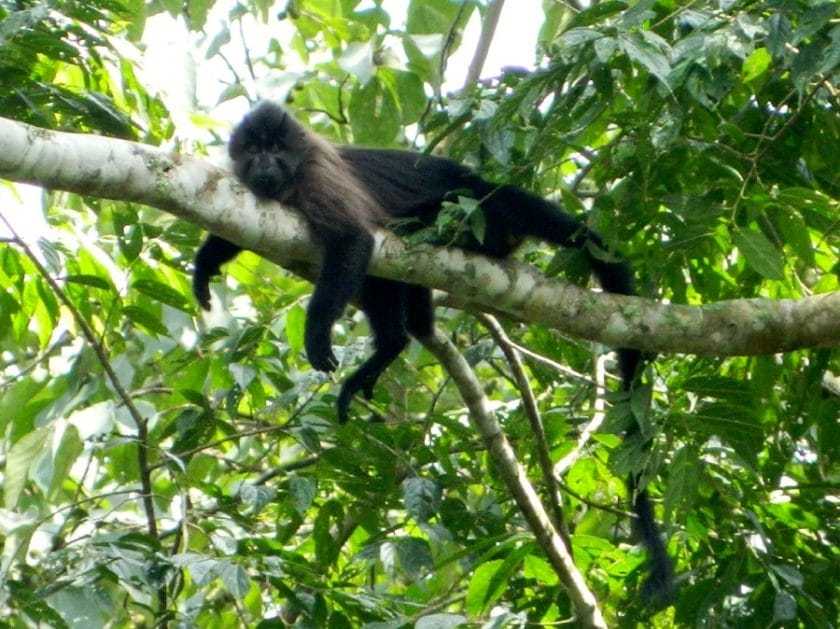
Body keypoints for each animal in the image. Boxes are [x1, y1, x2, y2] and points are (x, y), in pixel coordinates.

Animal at [192, 102, 676, 604]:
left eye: (275, 148)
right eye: (253, 150)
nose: (265, 163)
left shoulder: (316, 177)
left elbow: (354, 240)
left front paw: (318, 332)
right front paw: (206, 263)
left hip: (482, 218)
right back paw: (395, 342)